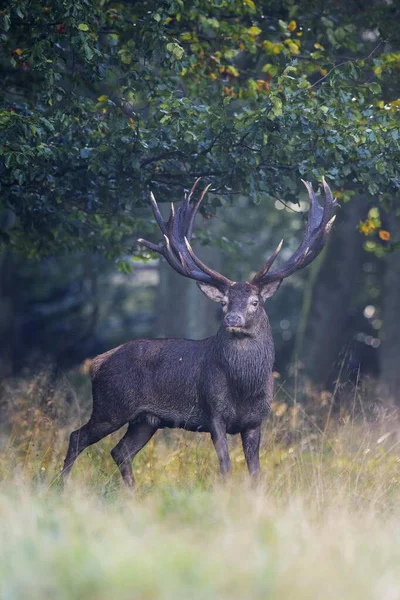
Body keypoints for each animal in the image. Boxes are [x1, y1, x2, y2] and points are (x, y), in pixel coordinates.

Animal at [62, 178, 336, 488]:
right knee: (77, 437)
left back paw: (131, 492)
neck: (245, 386)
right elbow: (226, 466)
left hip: (146, 420)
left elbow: (255, 472)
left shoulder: (256, 421)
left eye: (255, 302)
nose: (232, 318)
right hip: (111, 405)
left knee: (120, 451)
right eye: (224, 302)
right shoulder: (214, 412)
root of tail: (96, 363)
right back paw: (62, 485)